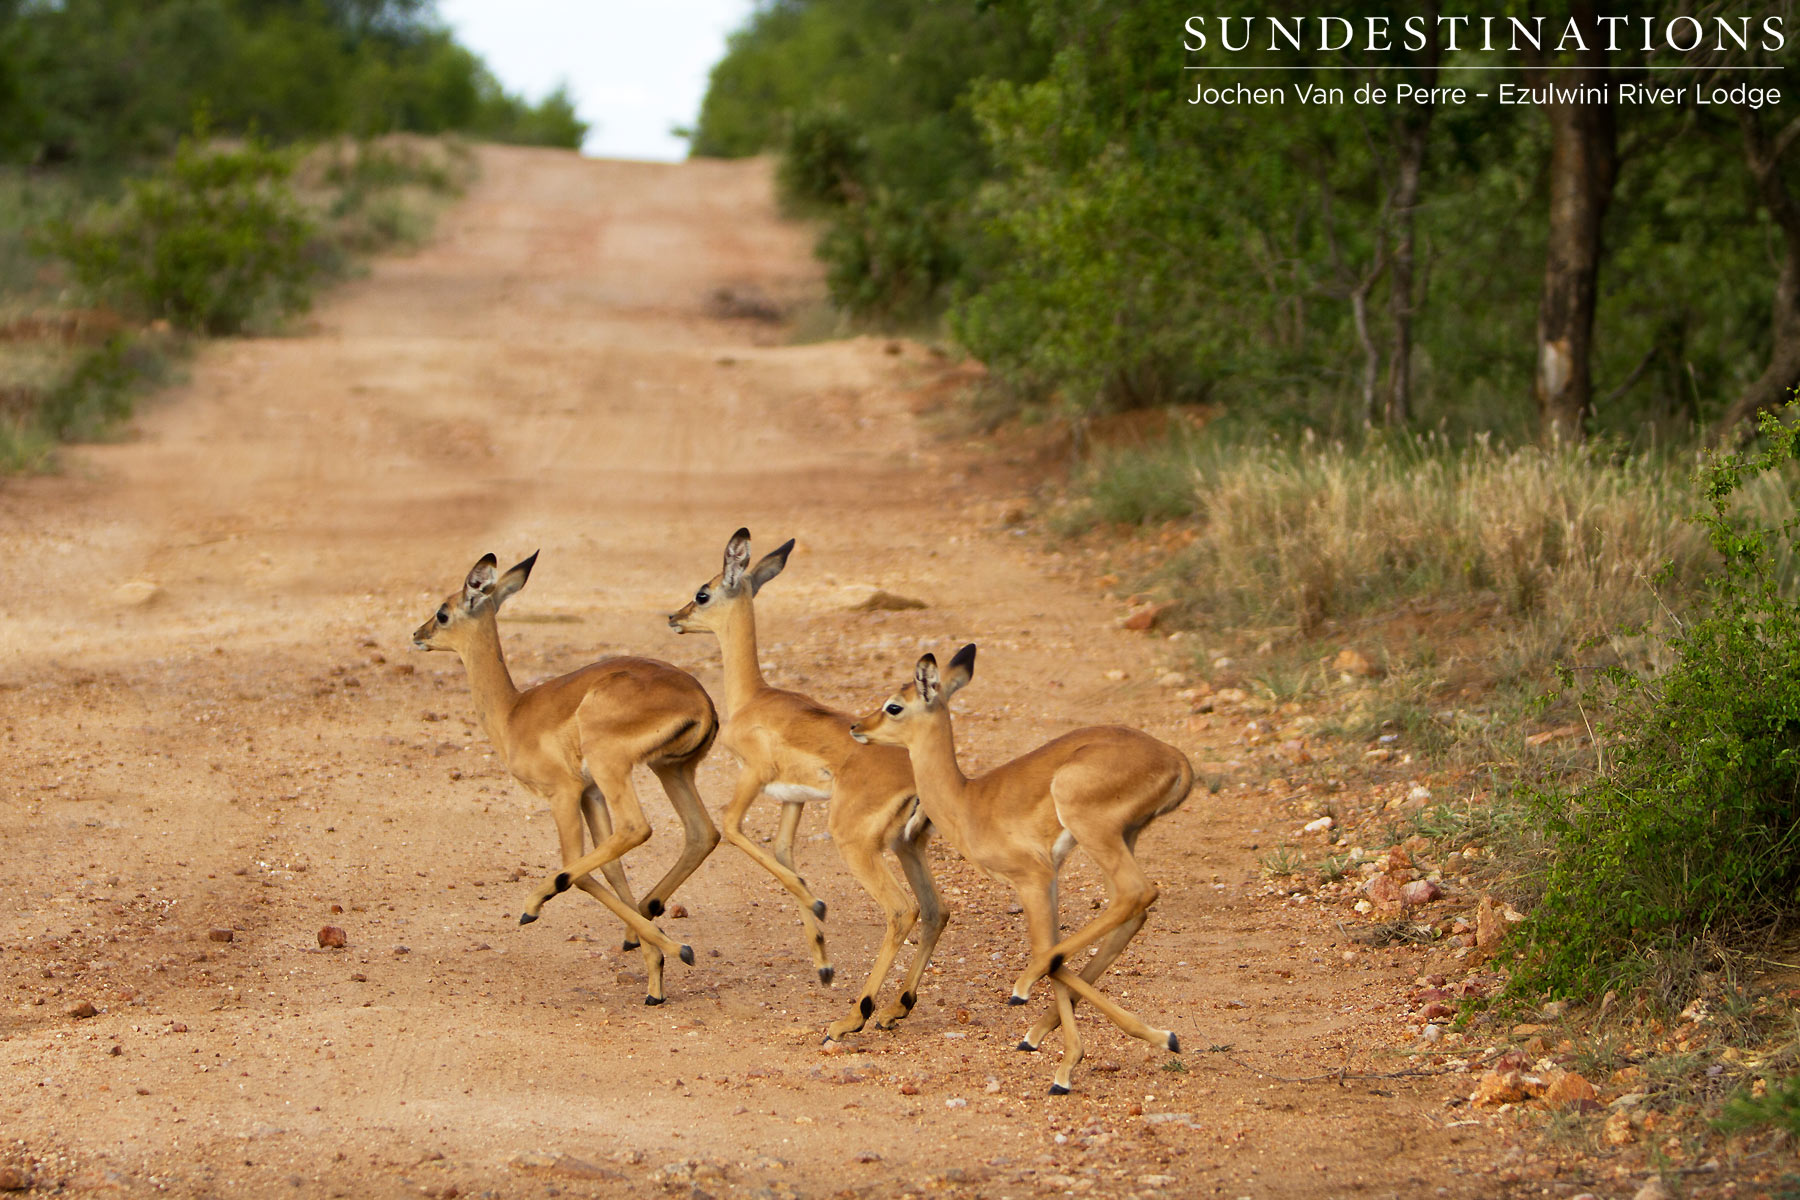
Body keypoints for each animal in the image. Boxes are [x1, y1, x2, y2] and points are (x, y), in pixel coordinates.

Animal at [412, 551, 720, 1005]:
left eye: (443, 612)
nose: (418, 634)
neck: (513, 712)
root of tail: (702, 702)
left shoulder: (564, 793)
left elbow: (579, 869)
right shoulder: (590, 794)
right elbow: (612, 870)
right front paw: (654, 974)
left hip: (616, 767)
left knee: (633, 831)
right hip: (670, 769)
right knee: (701, 833)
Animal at [667, 529, 947, 1041]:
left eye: (703, 593)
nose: (674, 617)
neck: (752, 699)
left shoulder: (752, 777)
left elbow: (733, 829)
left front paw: (818, 906)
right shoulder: (792, 801)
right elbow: (783, 855)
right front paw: (822, 963)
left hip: (857, 844)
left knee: (902, 910)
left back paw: (851, 1019)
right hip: (907, 845)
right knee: (937, 910)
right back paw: (895, 1009)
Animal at [849, 644, 1194, 1093]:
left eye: (894, 705)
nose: (857, 725)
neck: (968, 799)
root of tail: (1178, 760)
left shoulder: (1032, 880)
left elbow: (1045, 950)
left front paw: (1067, 1065)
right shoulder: (1048, 882)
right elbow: (1053, 950)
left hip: (1097, 832)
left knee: (1135, 895)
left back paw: (1026, 992)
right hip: (1124, 836)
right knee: (1129, 913)